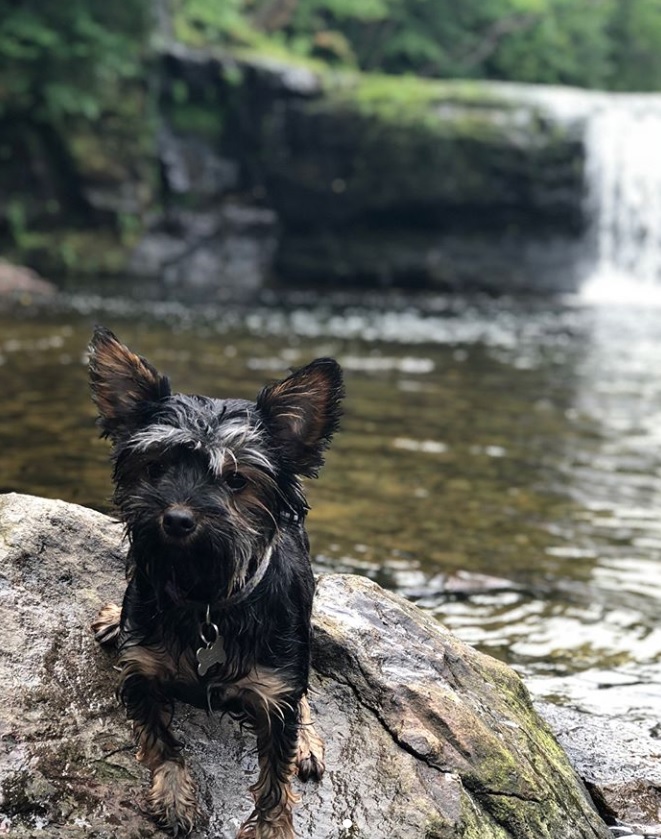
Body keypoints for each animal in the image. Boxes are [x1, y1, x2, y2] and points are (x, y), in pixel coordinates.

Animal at [88, 328, 342, 839]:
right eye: (156, 467)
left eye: (237, 480)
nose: (177, 518)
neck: (204, 592)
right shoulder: (139, 671)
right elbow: (159, 742)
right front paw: (175, 796)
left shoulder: (275, 693)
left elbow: (276, 774)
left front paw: (271, 827)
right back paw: (113, 619)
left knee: (306, 694)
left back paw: (308, 741)